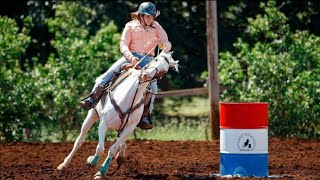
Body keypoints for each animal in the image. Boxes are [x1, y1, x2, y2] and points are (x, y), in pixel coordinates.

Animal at [57, 50, 178, 179]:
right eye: (155, 59)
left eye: (164, 71)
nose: (146, 75)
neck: (128, 97)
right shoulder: (103, 124)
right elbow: (100, 148)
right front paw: (92, 161)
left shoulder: (129, 128)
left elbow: (113, 149)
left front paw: (101, 171)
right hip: (92, 115)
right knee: (79, 140)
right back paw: (64, 164)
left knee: (121, 143)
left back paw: (120, 157)